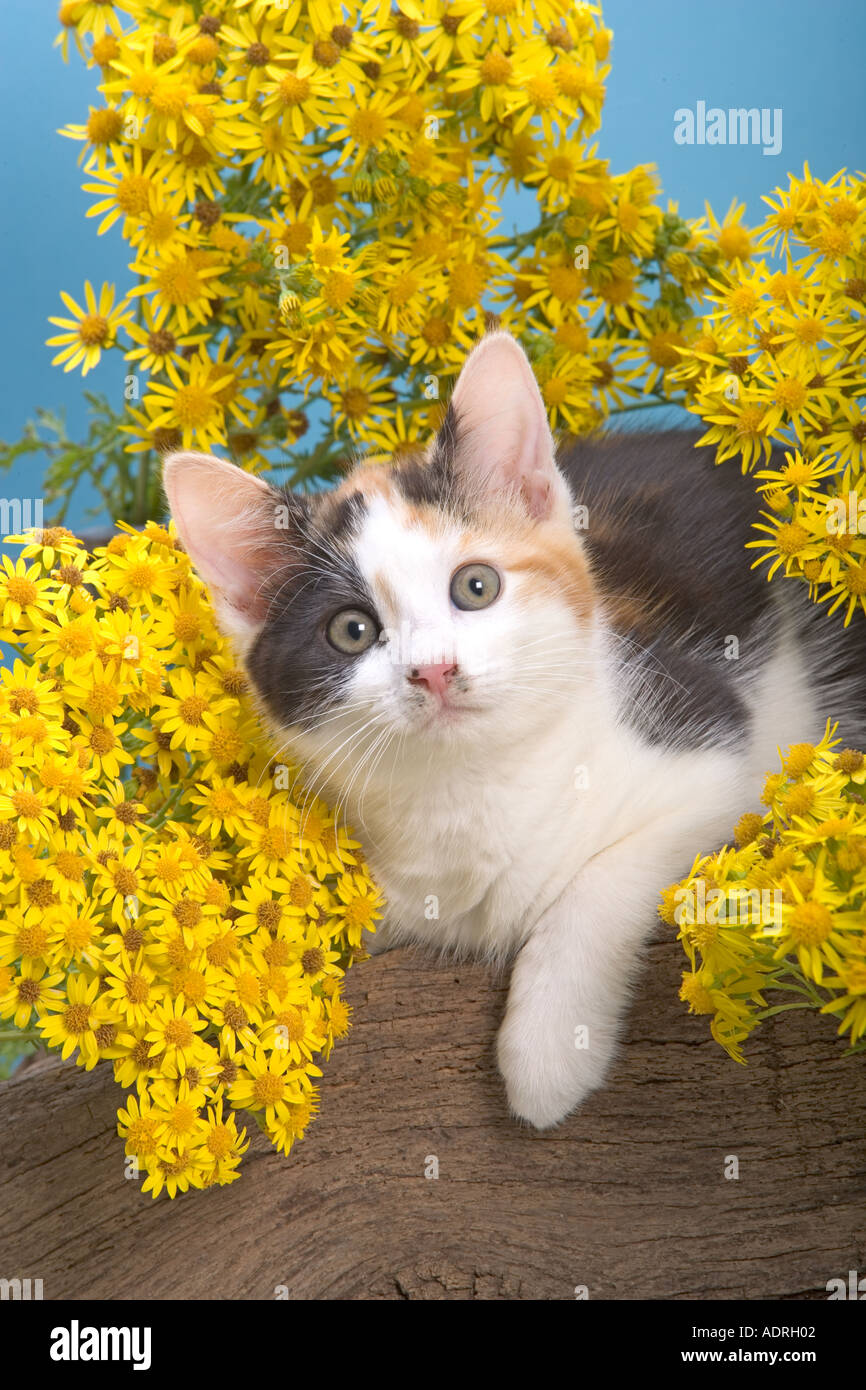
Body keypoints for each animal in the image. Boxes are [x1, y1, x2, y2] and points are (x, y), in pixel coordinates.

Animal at [164, 333, 866, 1128]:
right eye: (351, 631)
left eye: (476, 586)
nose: (435, 671)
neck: (466, 788)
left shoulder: (716, 754)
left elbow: (601, 880)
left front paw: (550, 1047)